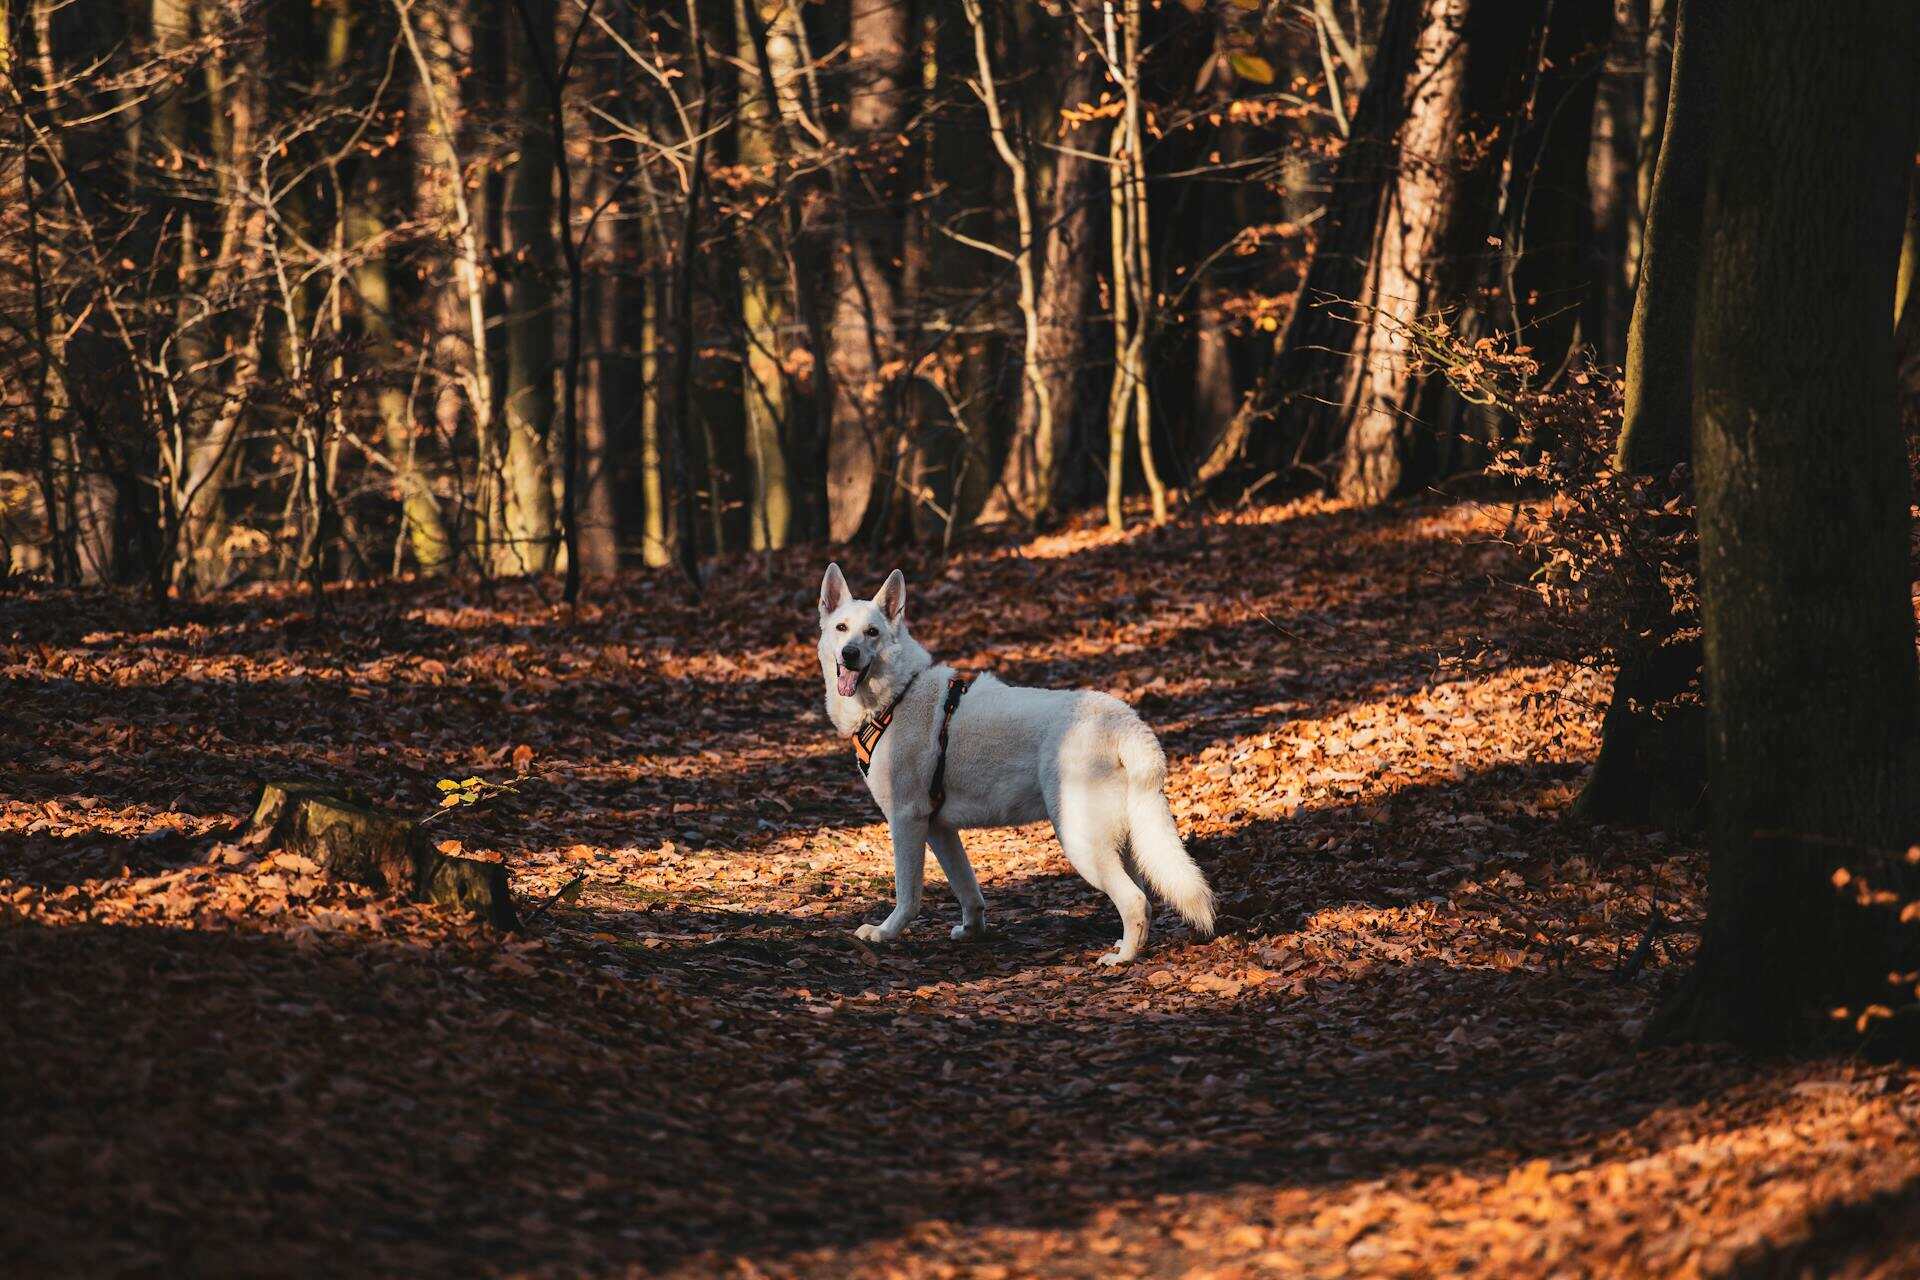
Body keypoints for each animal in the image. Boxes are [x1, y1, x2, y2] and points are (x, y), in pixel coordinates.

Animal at [814, 564, 1213, 967]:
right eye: (842, 628)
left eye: (872, 632)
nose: (849, 654)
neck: (897, 696)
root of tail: (1125, 720)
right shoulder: (939, 829)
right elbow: (969, 891)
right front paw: (972, 932)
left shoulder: (907, 821)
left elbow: (907, 896)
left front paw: (884, 933)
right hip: (1125, 842)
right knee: (1144, 895)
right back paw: (1129, 948)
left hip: (1080, 841)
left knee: (1135, 900)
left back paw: (1121, 959)